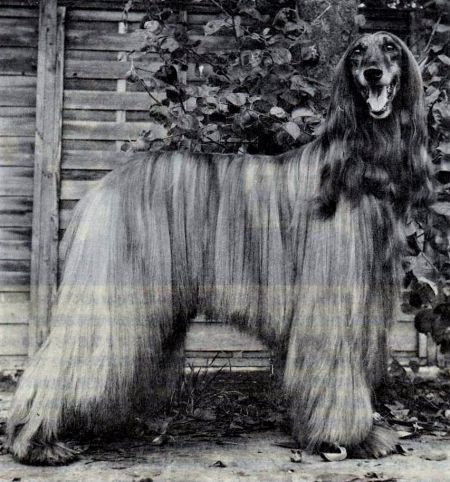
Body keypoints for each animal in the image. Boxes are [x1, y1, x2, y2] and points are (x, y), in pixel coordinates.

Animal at [7, 31, 433, 465]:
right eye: (358, 52)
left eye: (390, 47)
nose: (373, 73)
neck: (361, 164)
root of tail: (101, 188)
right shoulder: (330, 305)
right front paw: (349, 437)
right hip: (111, 293)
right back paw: (35, 440)